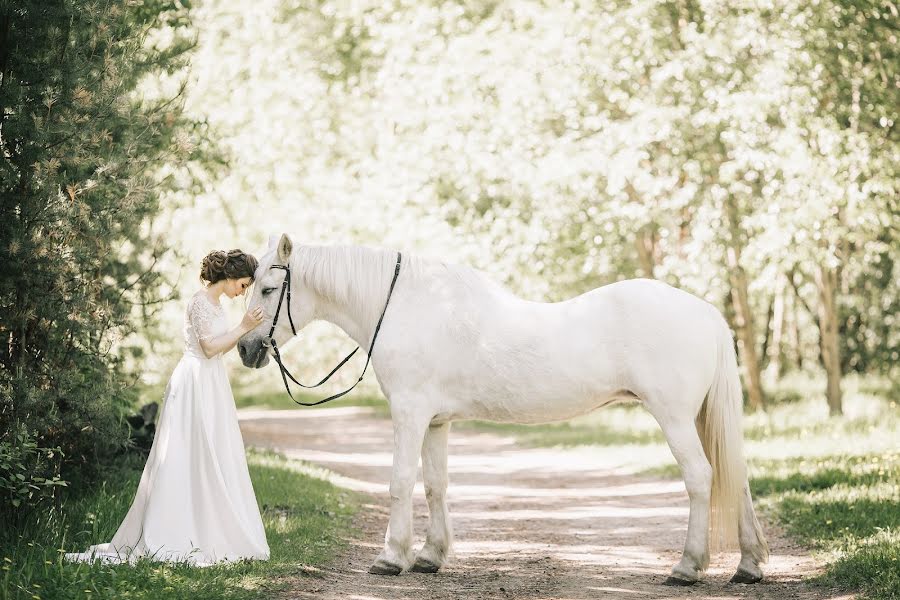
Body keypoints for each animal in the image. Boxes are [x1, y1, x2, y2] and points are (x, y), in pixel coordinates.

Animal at [237, 236, 768, 584]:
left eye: (267, 290)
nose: (244, 349)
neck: (405, 306)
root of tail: (706, 313)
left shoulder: (409, 414)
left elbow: (400, 482)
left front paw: (391, 558)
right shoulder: (436, 421)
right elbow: (435, 485)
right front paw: (430, 556)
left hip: (674, 417)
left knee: (701, 477)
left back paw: (686, 567)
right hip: (699, 417)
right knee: (735, 476)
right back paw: (748, 566)